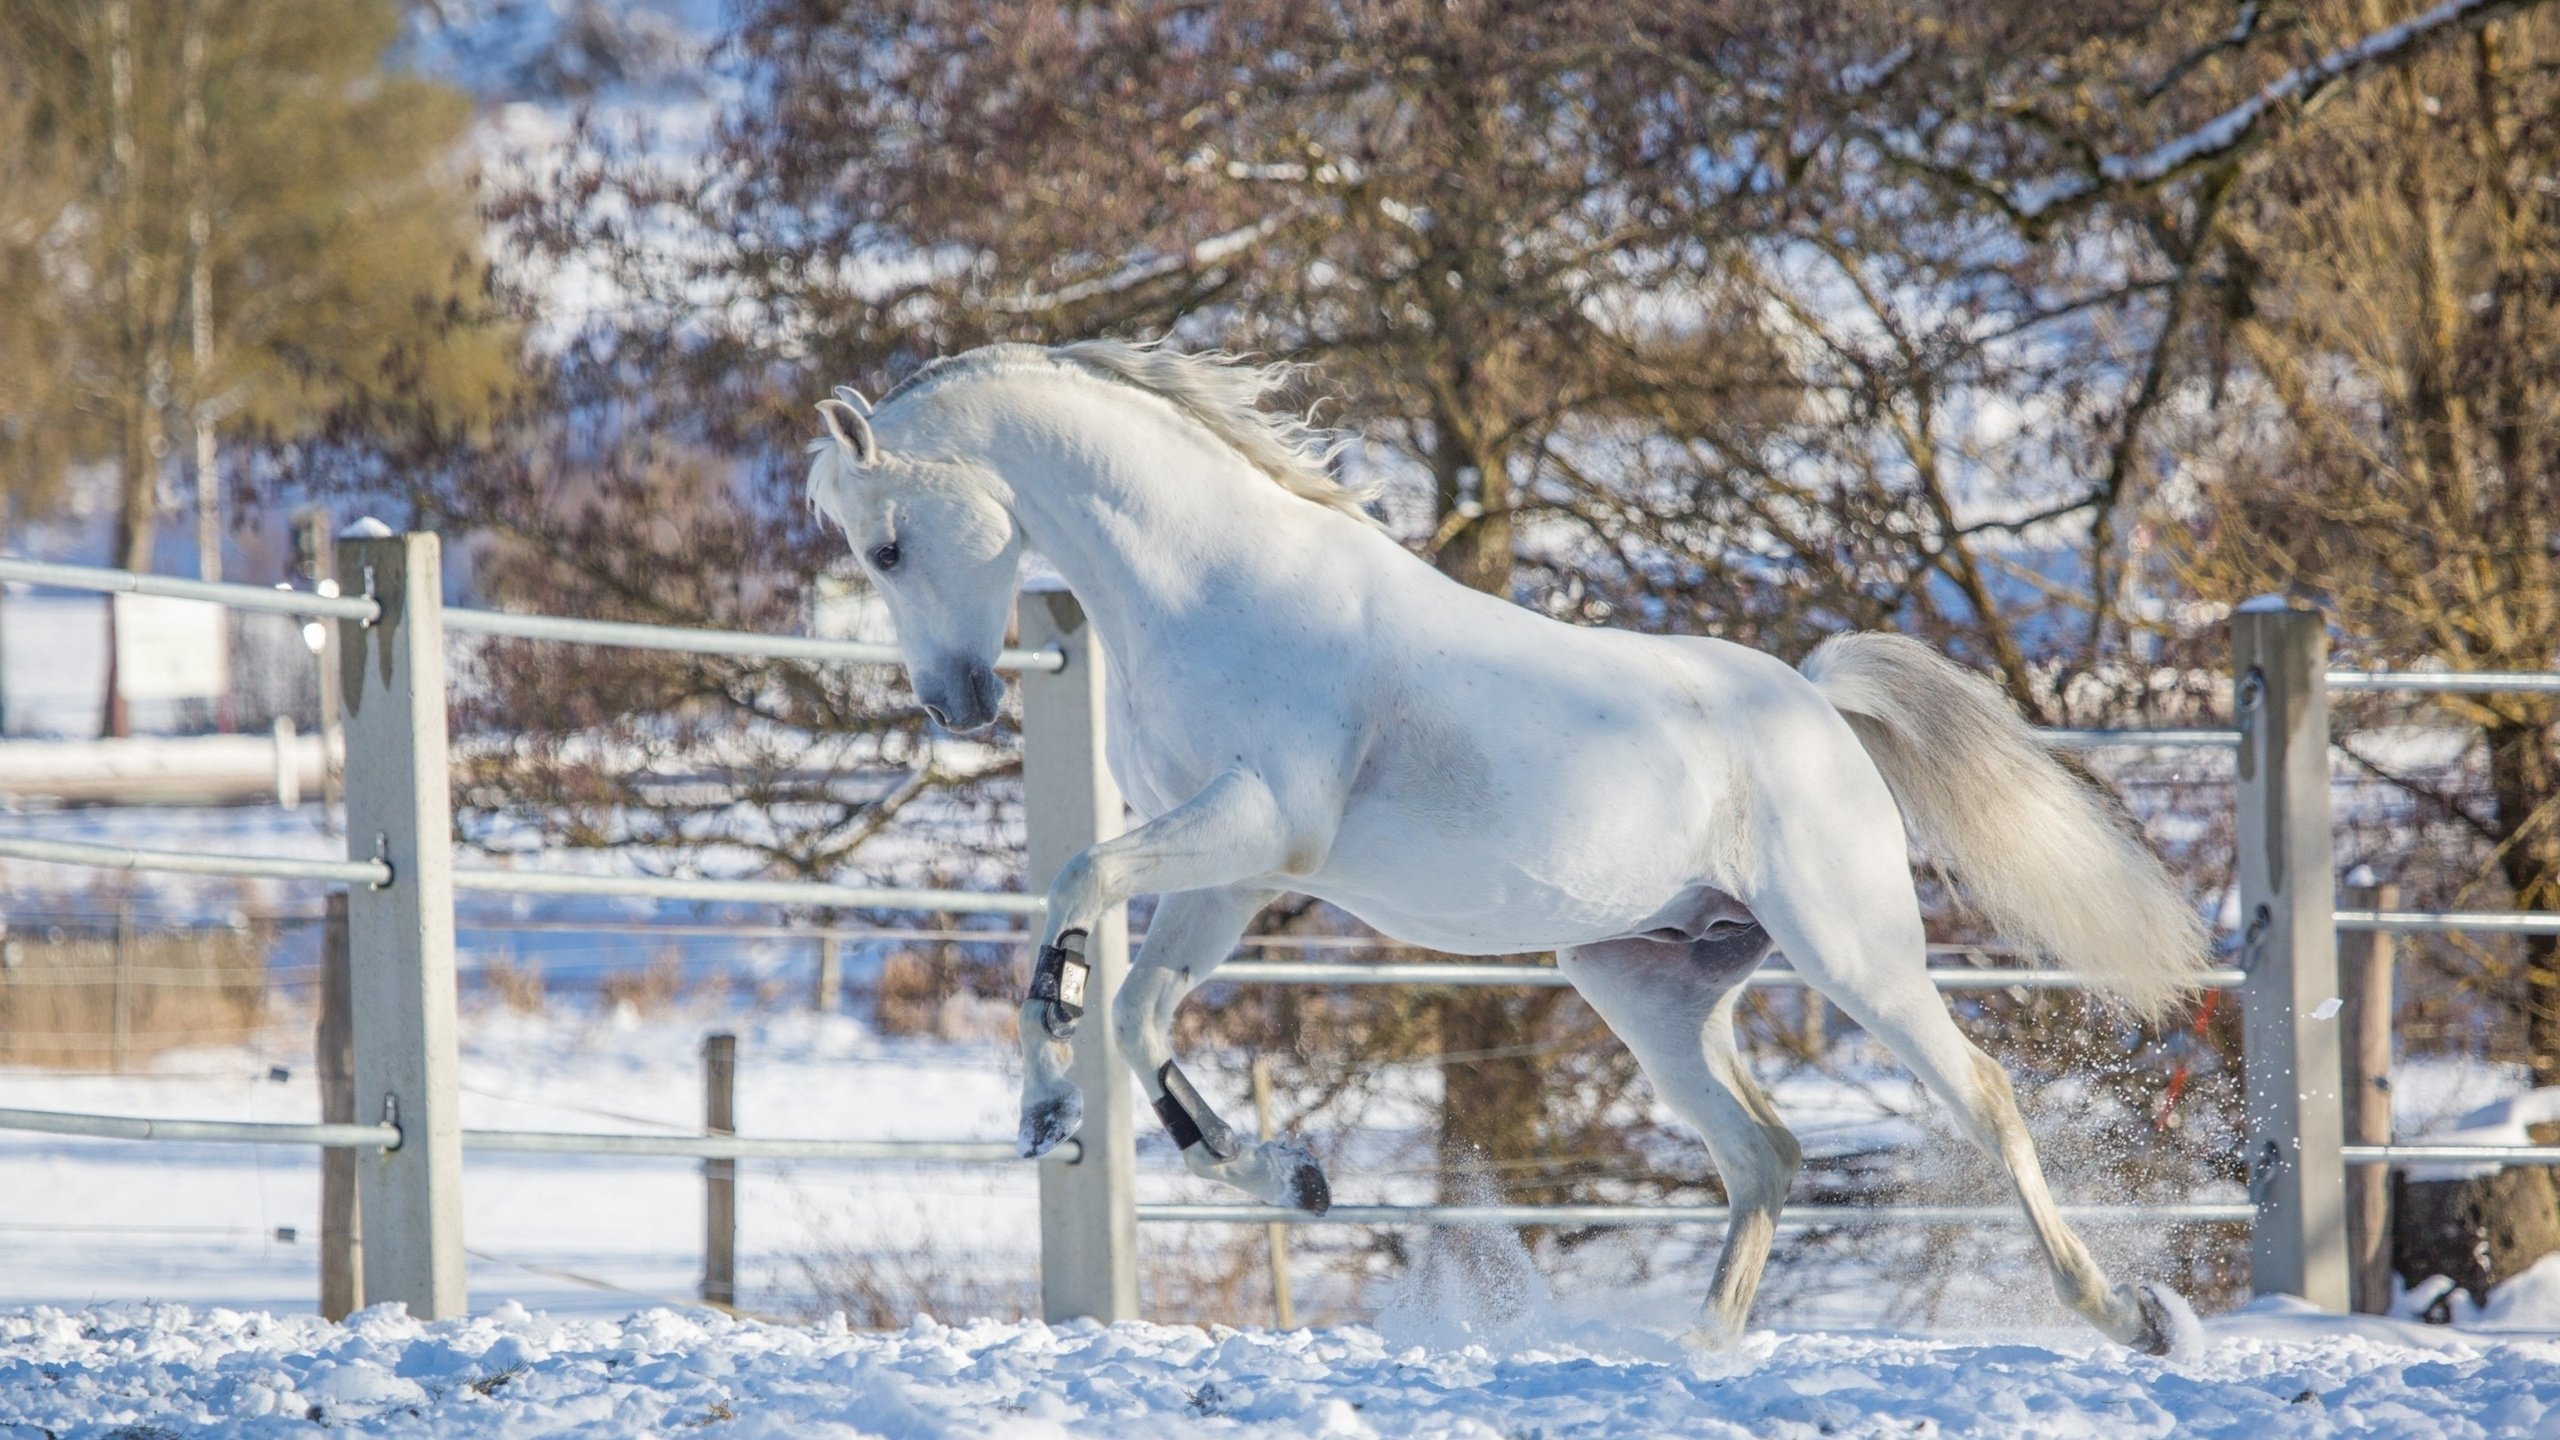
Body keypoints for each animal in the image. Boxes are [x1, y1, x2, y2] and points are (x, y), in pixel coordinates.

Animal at [808, 338, 2211, 1342]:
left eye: (887, 544)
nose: (956, 707)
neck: (1211, 585)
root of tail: (1814, 703)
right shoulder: (1233, 872)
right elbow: (1134, 1006)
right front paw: (1277, 1175)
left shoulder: (1257, 826)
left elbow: (1073, 887)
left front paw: (1058, 1112)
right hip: (1646, 984)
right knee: (1763, 1156)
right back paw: (1700, 1359)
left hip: (1852, 955)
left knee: (1980, 1098)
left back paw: (2128, 1319)